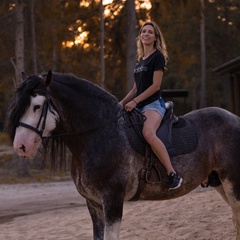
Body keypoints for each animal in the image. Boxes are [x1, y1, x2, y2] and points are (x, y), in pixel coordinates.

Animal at [4, 70, 240, 239]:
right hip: (218, 183)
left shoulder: (113, 202)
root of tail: (234, 118)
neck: (98, 133)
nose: (21, 146)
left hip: (232, 183)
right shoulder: (94, 204)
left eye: (37, 106)